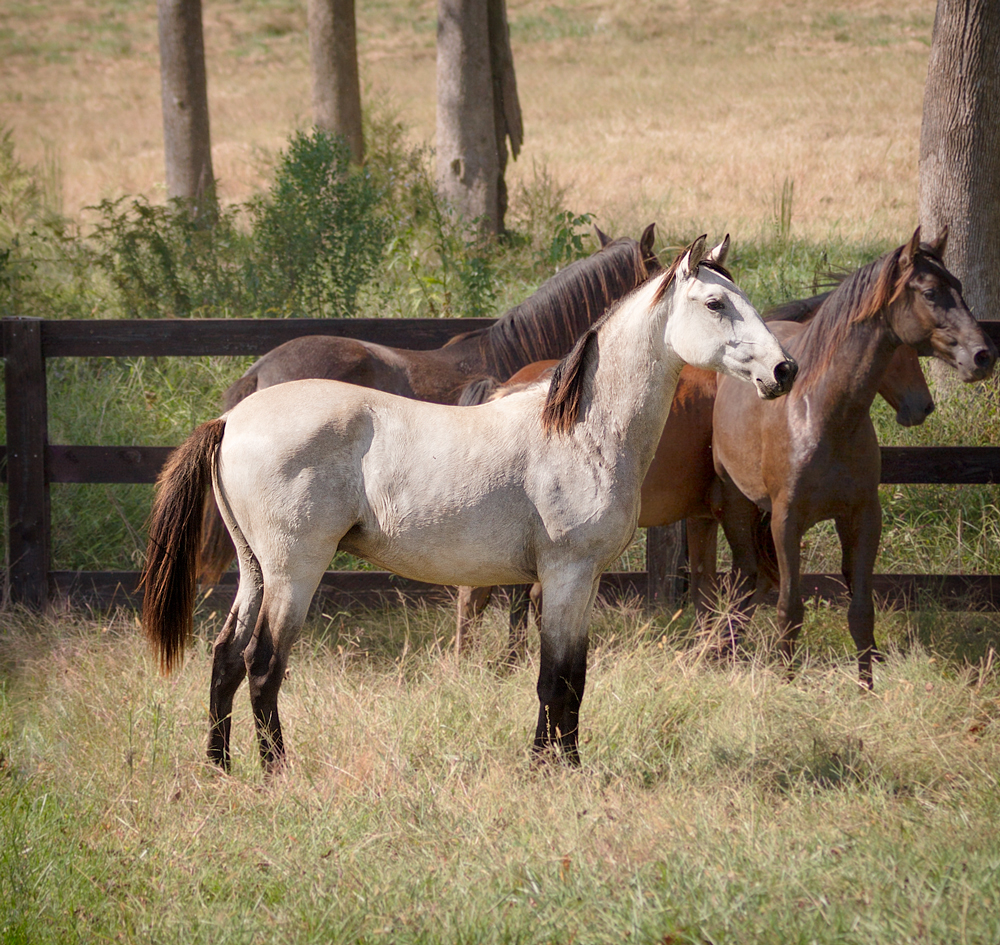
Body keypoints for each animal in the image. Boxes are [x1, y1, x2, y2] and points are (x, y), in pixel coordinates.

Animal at [458, 308, 932, 656]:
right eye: (901, 350)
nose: (922, 404)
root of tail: (502, 388)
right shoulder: (736, 510)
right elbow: (742, 580)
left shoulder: (702, 518)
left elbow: (706, 585)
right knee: (482, 594)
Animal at [716, 228, 996, 684]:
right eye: (931, 293)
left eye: (959, 287)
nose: (983, 355)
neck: (823, 414)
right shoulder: (785, 521)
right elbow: (790, 610)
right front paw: (786, 683)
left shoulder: (863, 517)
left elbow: (861, 612)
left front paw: (867, 687)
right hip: (737, 509)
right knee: (744, 581)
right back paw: (726, 653)